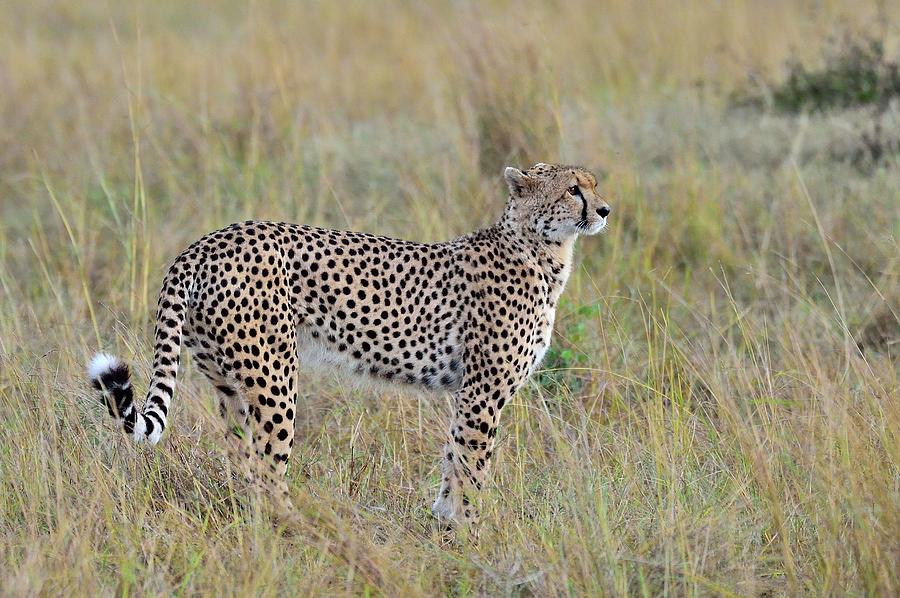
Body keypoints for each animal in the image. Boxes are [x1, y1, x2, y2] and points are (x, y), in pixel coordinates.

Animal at [89, 163, 612, 528]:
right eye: (573, 189)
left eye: (593, 184)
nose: (605, 210)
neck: (541, 250)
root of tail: (205, 242)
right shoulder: (484, 392)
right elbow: (471, 467)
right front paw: (469, 534)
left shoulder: (467, 393)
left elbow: (452, 461)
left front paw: (444, 525)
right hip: (274, 378)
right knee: (268, 470)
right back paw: (298, 530)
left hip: (229, 383)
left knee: (244, 465)